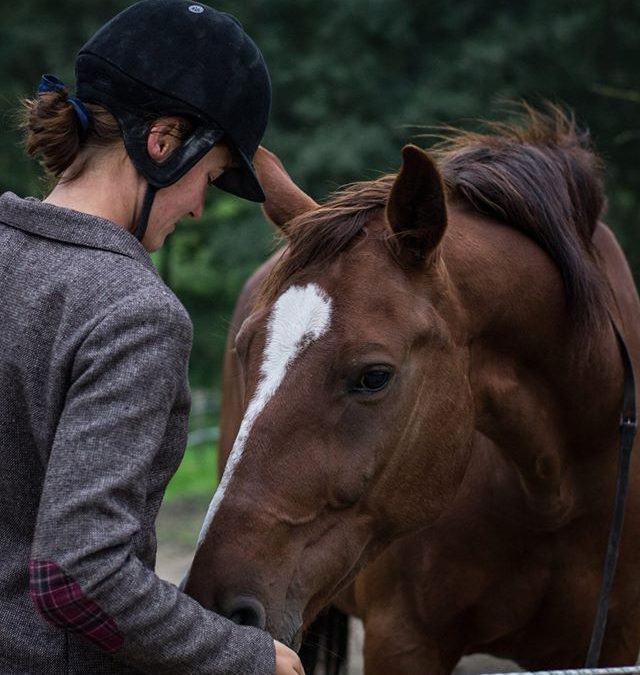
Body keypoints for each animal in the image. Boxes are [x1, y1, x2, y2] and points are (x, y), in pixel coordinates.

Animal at [181, 108, 640, 672]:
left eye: (374, 376)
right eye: (245, 350)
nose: (215, 606)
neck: (556, 491)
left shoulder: (616, 642)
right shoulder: (402, 642)